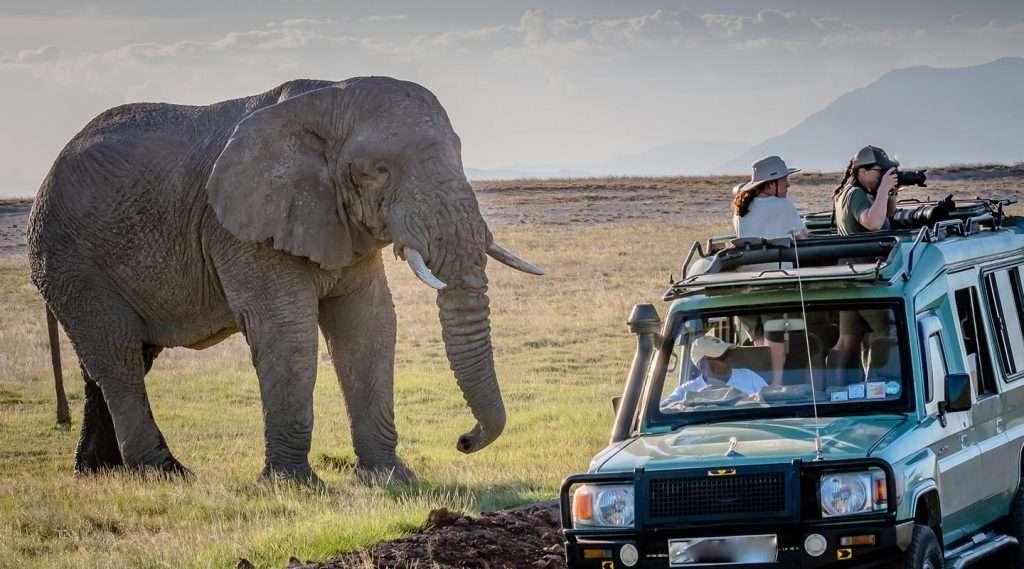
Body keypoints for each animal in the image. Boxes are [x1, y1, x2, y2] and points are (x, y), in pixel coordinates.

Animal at [27, 77, 542, 484]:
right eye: (377, 172)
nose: (464, 440)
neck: (327, 99)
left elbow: (369, 325)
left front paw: (392, 479)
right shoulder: (240, 227)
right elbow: (286, 329)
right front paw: (294, 485)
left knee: (121, 357)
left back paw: (97, 472)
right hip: (71, 260)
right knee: (118, 358)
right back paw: (166, 473)